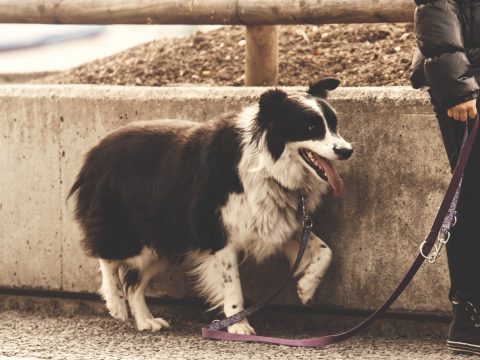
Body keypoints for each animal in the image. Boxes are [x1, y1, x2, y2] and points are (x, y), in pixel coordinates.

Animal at [68, 79, 352, 334]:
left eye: (334, 125)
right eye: (311, 127)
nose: (347, 150)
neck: (267, 164)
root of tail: (94, 153)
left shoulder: (276, 222)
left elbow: (326, 251)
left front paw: (306, 288)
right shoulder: (218, 232)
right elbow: (233, 285)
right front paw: (239, 326)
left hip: (166, 237)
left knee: (133, 282)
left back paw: (146, 320)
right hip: (128, 226)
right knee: (107, 256)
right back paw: (115, 303)